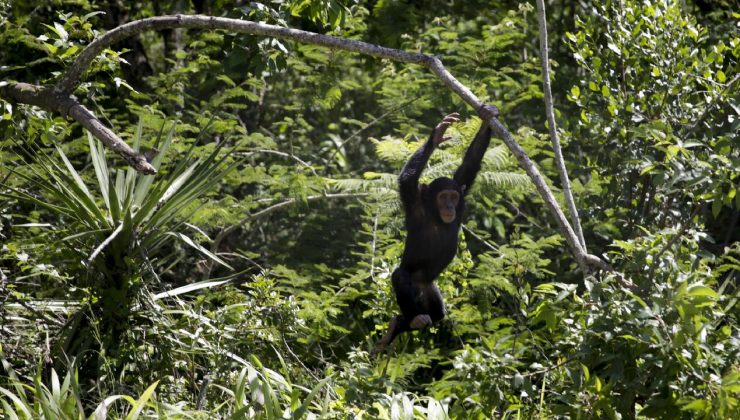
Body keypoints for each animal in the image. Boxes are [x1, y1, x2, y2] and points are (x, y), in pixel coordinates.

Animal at [372, 104, 500, 352]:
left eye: (452, 196)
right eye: (443, 197)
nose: (449, 205)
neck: (436, 216)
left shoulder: (462, 191)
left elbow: (469, 164)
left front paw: (487, 117)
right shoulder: (414, 201)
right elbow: (407, 179)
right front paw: (437, 134)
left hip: (431, 291)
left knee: (438, 314)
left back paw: (398, 326)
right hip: (413, 292)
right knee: (400, 276)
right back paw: (411, 320)